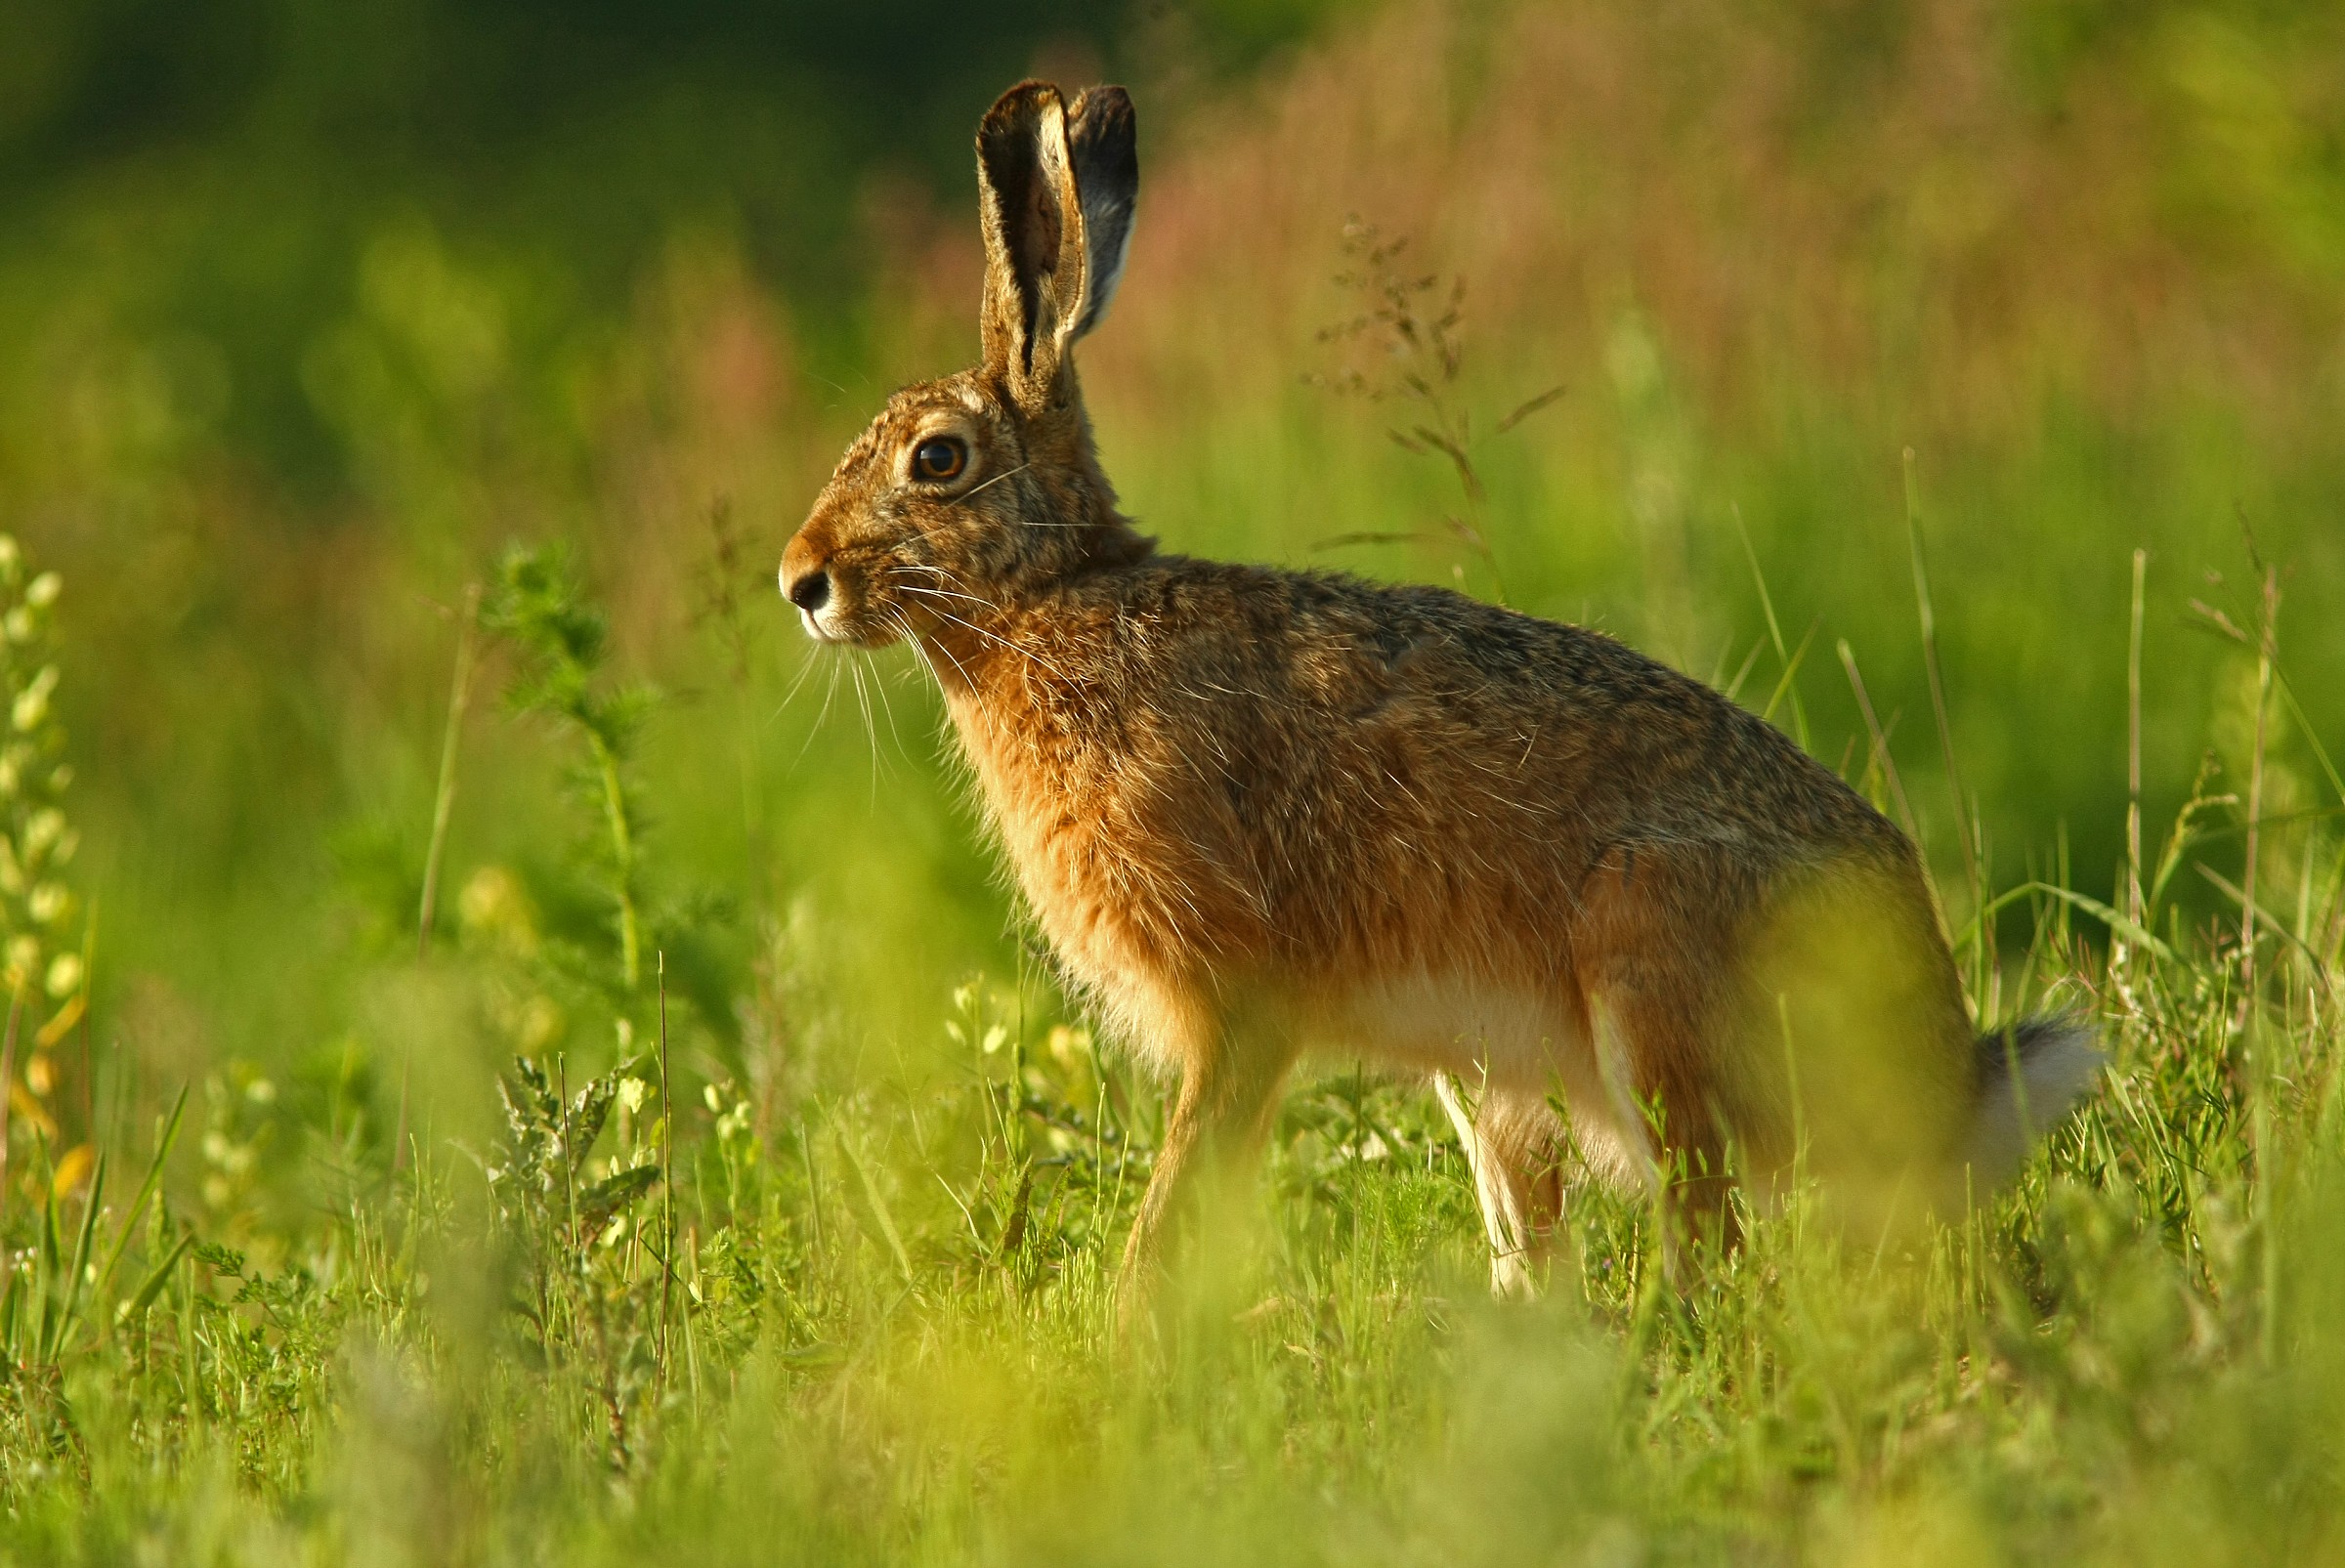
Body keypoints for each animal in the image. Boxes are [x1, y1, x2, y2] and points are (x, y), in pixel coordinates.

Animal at [778, 80, 2102, 1299]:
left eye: (937, 460)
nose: (800, 581)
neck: (1051, 600)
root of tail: (1942, 1085)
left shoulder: (1239, 1006)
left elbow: (1181, 1205)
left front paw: (1131, 1344)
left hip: (1651, 964)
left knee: (1709, 1232)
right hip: (1498, 1078)